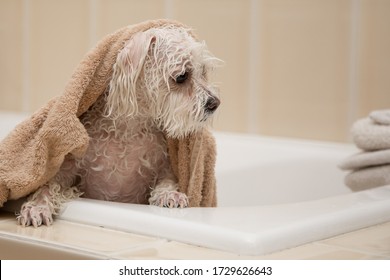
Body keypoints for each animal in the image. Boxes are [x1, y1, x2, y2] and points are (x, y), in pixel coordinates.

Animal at [16, 25, 221, 228]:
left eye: (203, 72)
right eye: (181, 76)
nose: (215, 103)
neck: (128, 130)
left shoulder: (164, 163)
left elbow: (168, 180)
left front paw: (169, 194)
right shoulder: (70, 165)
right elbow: (49, 185)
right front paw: (37, 207)